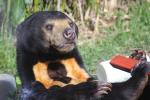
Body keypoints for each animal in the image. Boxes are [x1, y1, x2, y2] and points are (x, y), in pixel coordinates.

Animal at [15, 10, 149, 99]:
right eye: (48, 26)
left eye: (70, 24)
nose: (69, 33)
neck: (53, 57)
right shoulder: (34, 78)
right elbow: (48, 94)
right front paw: (95, 89)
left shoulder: (78, 69)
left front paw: (138, 56)